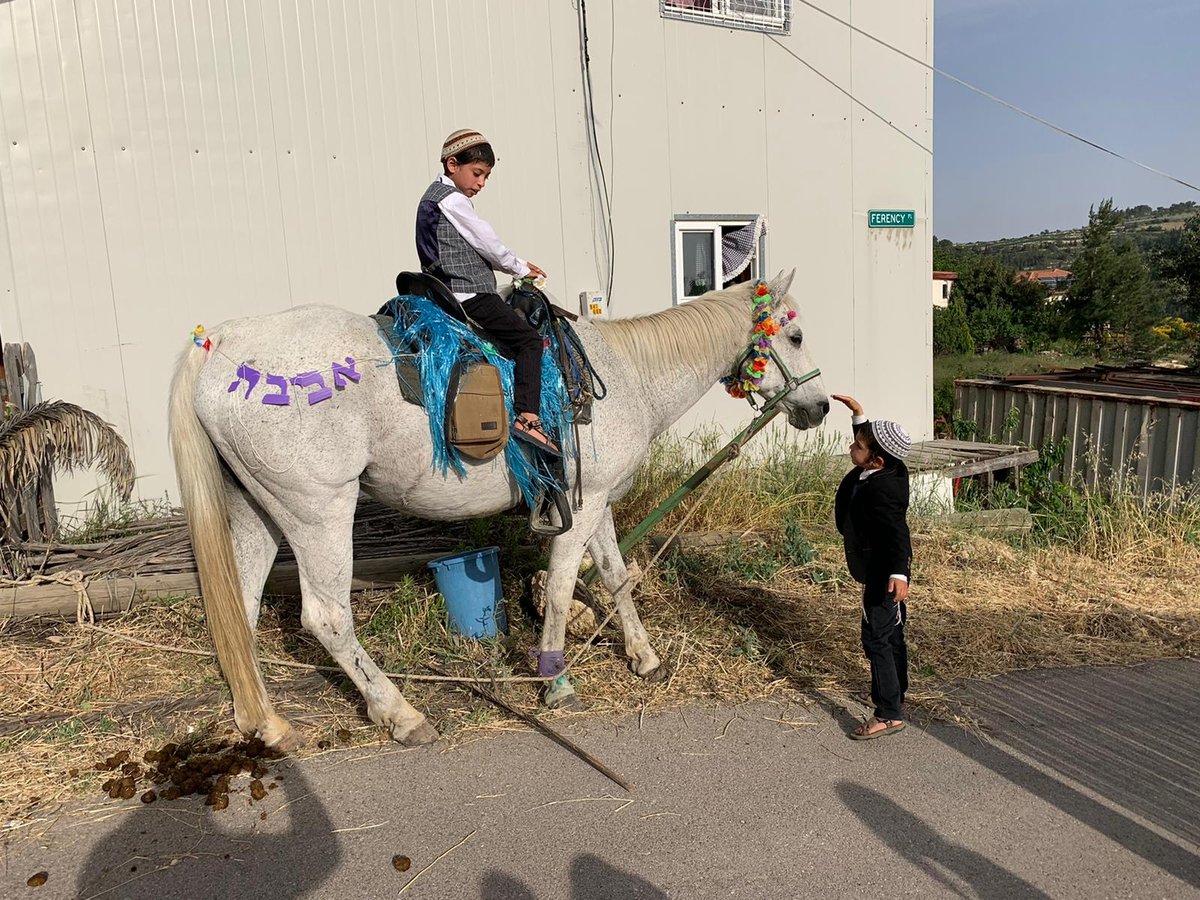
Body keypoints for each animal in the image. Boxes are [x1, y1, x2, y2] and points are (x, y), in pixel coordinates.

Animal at [166, 271, 825, 748]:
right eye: (794, 337)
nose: (818, 406)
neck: (627, 372)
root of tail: (224, 344)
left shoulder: (598, 500)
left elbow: (615, 576)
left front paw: (644, 656)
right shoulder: (584, 506)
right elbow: (561, 586)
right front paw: (555, 678)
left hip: (257, 510)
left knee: (242, 609)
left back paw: (266, 722)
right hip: (318, 512)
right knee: (327, 618)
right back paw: (400, 714)